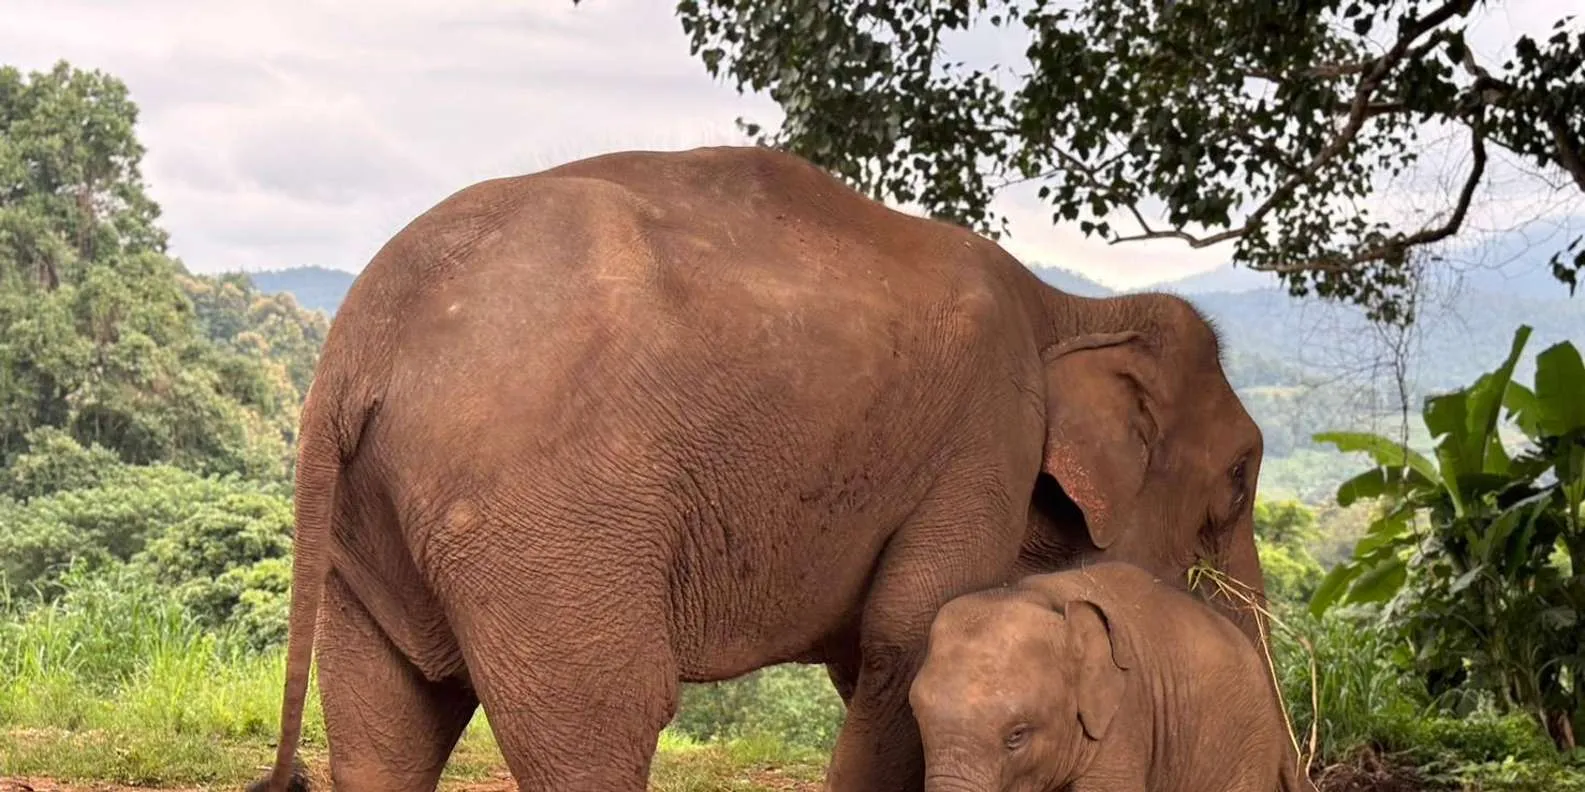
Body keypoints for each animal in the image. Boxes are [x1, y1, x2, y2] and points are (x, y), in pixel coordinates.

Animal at [247, 145, 1270, 792]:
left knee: (388, 720)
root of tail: (356, 347)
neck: (1069, 307)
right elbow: (906, 636)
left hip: (371, 520)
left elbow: (876, 655)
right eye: (1239, 479)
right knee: (607, 717)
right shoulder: (985, 441)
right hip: (538, 515)